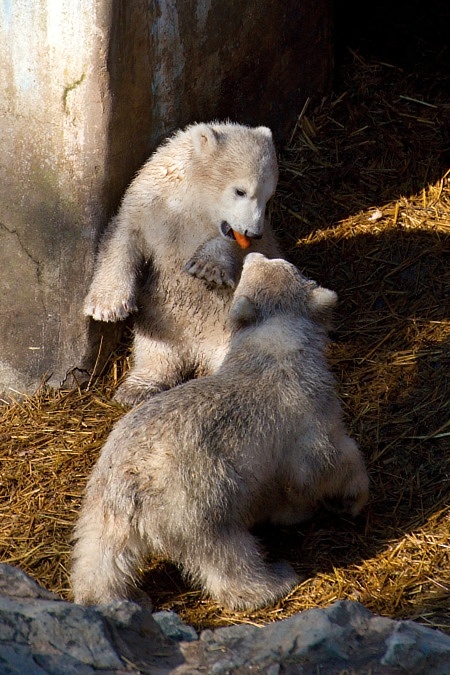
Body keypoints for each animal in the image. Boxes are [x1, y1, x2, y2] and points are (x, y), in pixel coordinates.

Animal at [73, 252, 370, 612]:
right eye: (280, 262)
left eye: (257, 265)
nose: (253, 253)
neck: (274, 344)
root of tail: (130, 481)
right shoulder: (307, 412)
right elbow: (327, 461)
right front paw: (353, 499)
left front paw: (293, 514)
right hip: (195, 498)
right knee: (224, 552)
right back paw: (274, 581)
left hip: (102, 496)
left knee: (99, 551)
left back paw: (107, 597)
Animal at [84, 121, 282, 406]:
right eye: (240, 190)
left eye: (268, 198)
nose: (253, 232)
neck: (192, 205)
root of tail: (199, 350)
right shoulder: (149, 204)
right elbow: (123, 238)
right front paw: (107, 306)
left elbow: (241, 255)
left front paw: (208, 268)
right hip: (162, 321)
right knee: (156, 351)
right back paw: (137, 388)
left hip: (229, 331)